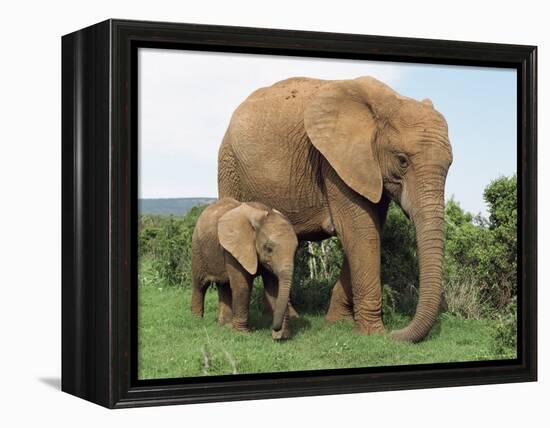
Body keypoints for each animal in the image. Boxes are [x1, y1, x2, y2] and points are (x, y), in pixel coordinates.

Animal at [192, 196, 300, 340]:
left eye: (296, 250)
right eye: (268, 249)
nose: (274, 329)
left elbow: (274, 287)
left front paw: (283, 336)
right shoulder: (234, 246)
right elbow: (242, 286)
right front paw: (242, 334)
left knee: (224, 285)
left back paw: (225, 326)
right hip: (197, 248)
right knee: (200, 285)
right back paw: (197, 320)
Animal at [218, 77, 454, 342]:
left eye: (450, 164)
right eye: (402, 160)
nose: (395, 333)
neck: (386, 101)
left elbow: (368, 231)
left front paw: (338, 323)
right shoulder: (334, 163)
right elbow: (360, 232)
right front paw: (372, 334)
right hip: (229, 163)